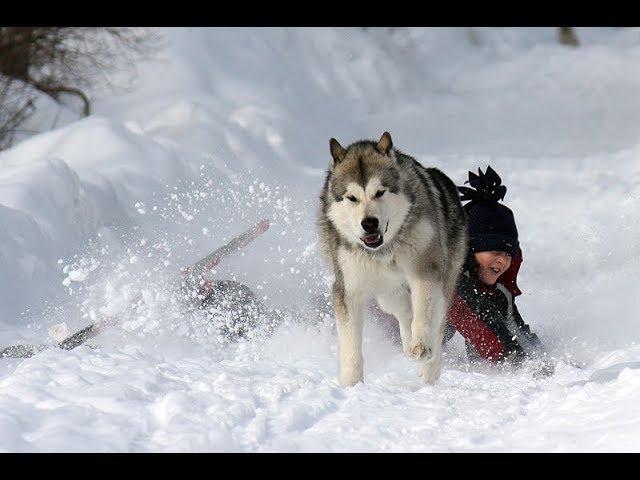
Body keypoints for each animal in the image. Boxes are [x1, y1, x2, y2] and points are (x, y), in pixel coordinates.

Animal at [318, 131, 468, 386]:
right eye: (351, 198)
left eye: (380, 192)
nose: (369, 223)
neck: (386, 248)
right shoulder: (348, 287)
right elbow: (350, 345)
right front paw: (351, 384)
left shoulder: (425, 269)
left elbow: (424, 314)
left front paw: (422, 345)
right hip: (385, 289)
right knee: (403, 308)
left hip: (445, 276)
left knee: (435, 323)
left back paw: (428, 366)